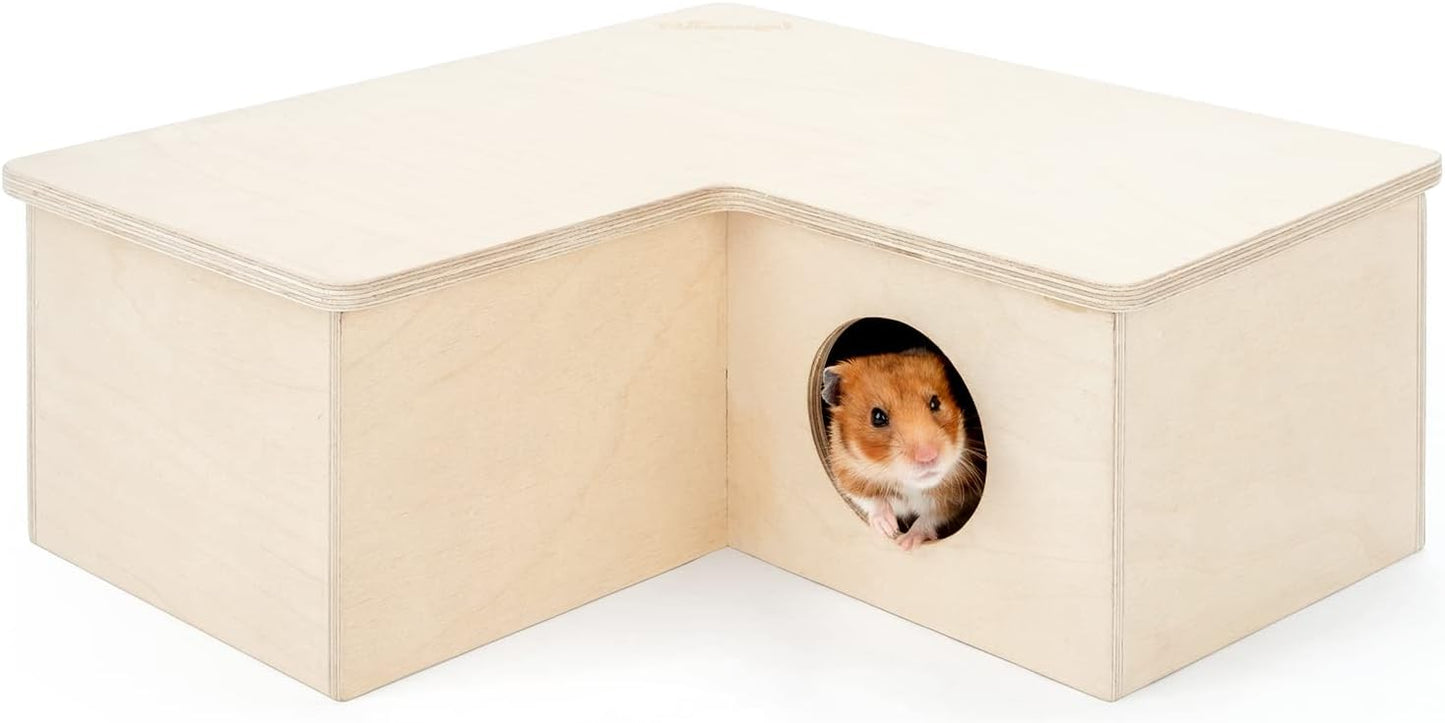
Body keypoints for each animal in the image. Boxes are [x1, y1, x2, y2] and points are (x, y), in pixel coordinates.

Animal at [820, 349, 983, 550]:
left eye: (935, 403)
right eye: (877, 417)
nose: (928, 457)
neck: (910, 486)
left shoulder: (963, 495)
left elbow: (933, 515)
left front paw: (905, 543)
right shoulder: (844, 470)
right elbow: (868, 498)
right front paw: (888, 528)